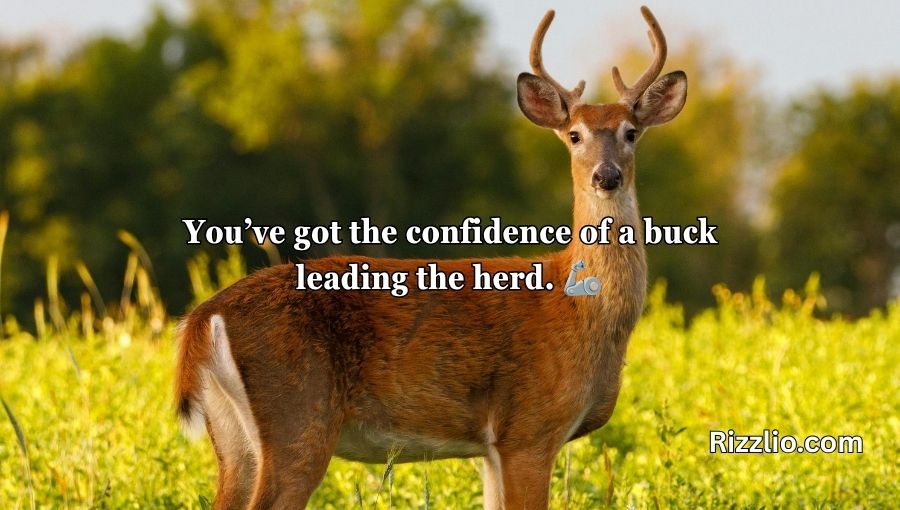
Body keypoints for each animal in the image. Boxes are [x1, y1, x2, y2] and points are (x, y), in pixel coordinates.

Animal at [175, 5, 687, 509]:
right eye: (575, 135)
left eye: (631, 132)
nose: (607, 176)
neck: (583, 309)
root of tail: (204, 316)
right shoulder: (529, 428)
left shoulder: (493, 447)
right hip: (298, 414)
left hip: (234, 435)